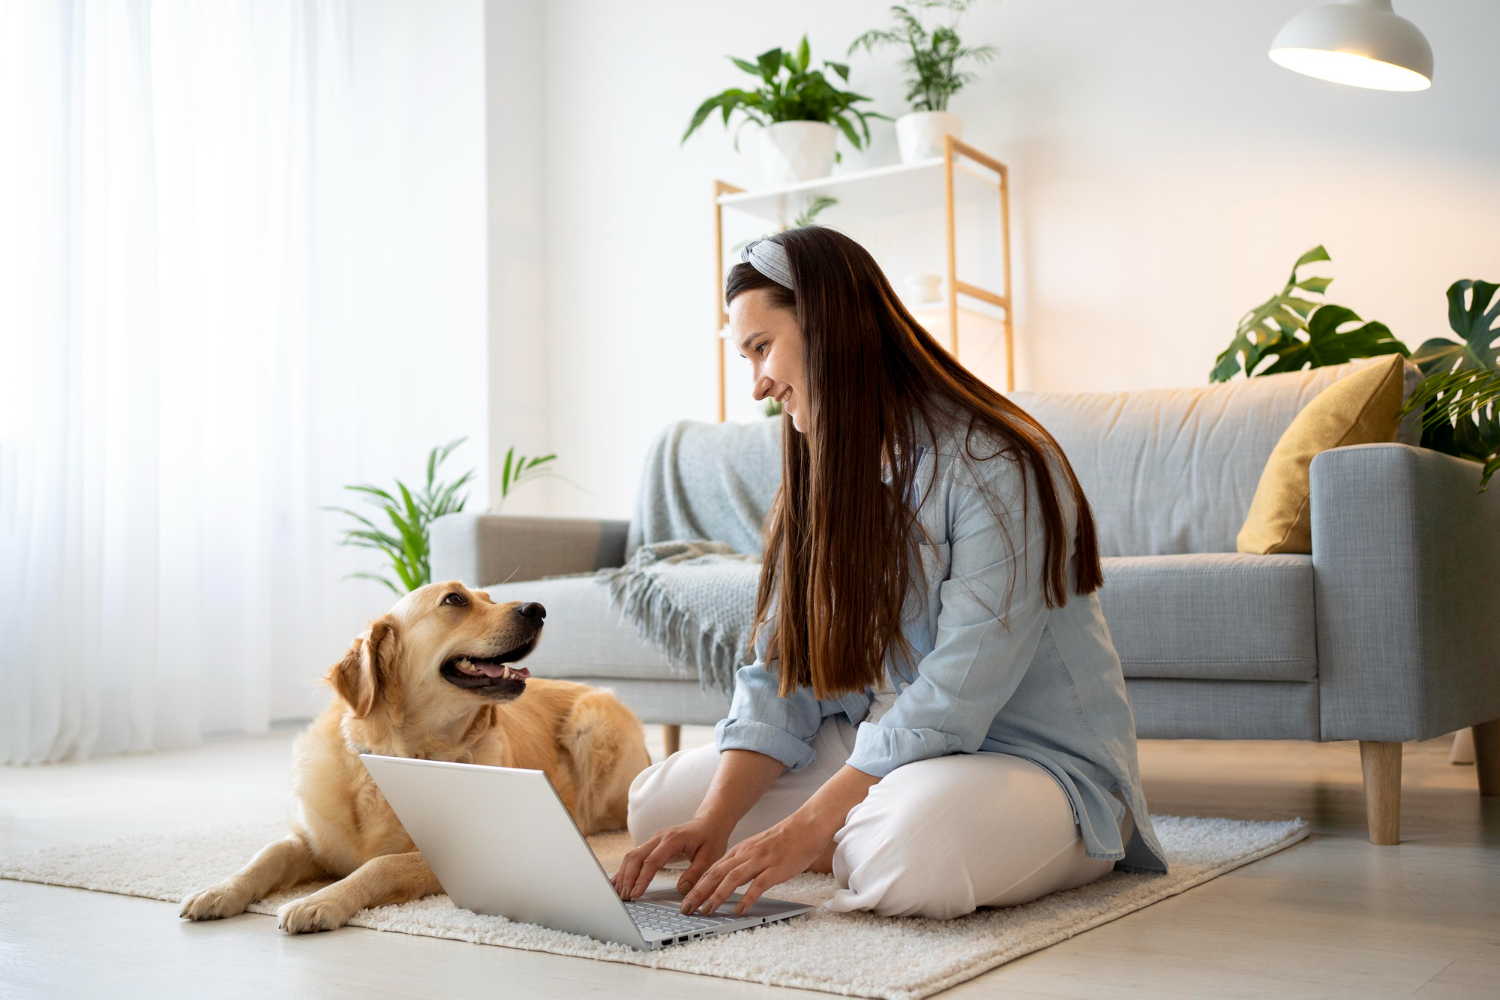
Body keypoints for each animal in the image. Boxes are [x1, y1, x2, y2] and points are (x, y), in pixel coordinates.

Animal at [178, 581, 648, 935]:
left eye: (490, 597)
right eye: (455, 600)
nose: (538, 609)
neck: (402, 756)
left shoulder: (451, 853)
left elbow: (379, 865)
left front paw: (320, 901)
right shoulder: (314, 839)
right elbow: (268, 853)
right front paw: (218, 891)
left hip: (592, 727)